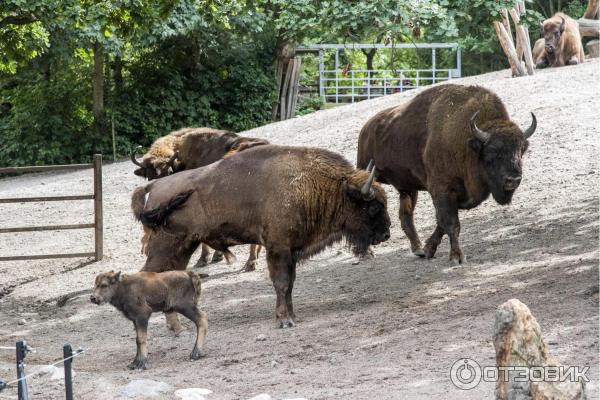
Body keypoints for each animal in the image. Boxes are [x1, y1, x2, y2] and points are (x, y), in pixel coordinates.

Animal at [133, 145, 392, 330]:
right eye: (373, 207)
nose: (386, 233)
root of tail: (153, 185)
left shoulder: (291, 252)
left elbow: (290, 284)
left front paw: (292, 315)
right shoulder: (278, 248)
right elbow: (281, 283)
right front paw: (284, 320)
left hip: (183, 247)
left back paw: (176, 328)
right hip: (165, 247)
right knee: (149, 276)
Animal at [358, 83, 536, 266]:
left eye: (522, 150)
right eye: (492, 151)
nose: (513, 180)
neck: (466, 141)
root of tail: (366, 128)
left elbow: (441, 223)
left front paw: (428, 249)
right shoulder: (442, 190)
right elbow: (451, 223)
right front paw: (457, 256)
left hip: (408, 188)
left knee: (405, 216)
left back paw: (418, 249)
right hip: (366, 171)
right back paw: (366, 253)